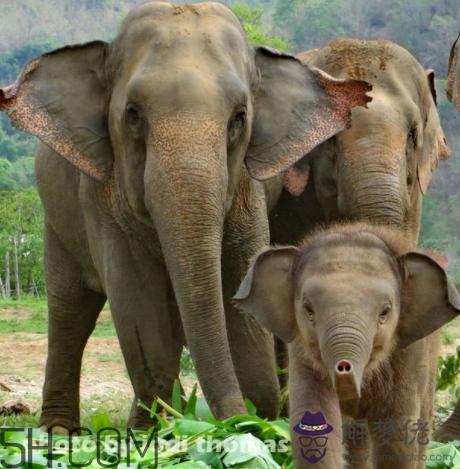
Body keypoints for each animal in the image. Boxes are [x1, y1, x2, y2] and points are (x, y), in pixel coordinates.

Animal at [0, 0, 370, 428]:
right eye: (132, 115)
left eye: (239, 117)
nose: (241, 419)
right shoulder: (101, 195)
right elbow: (136, 300)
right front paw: (160, 430)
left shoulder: (247, 190)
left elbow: (239, 278)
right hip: (58, 220)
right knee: (70, 308)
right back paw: (64, 429)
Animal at [235, 224, 458, 468]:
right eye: (308, 309)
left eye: (385, 312)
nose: (343, 367)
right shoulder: (302, 352)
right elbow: (315, 421)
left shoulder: (408, 354)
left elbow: (398, 435)